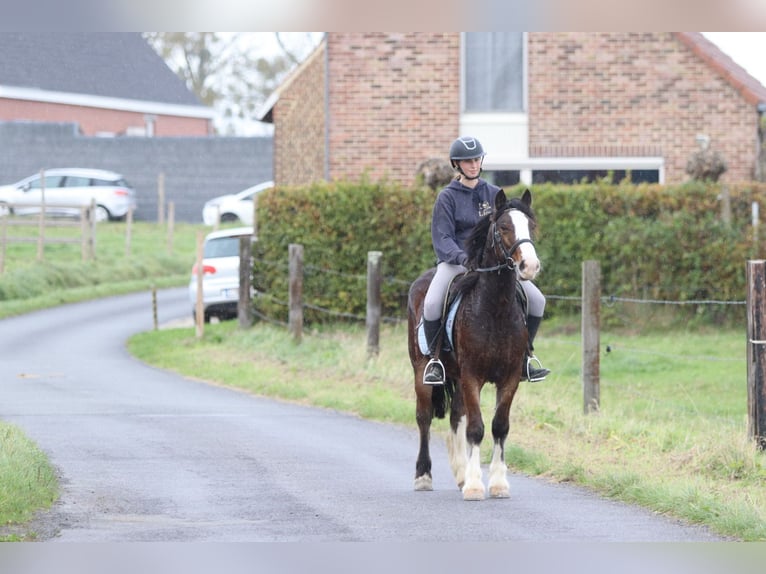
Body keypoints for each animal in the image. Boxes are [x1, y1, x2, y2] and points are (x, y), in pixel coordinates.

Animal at [407, 188, 541, 501]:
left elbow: (499, 426)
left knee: (457, 417)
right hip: (422, 372)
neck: (494, 310)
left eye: (531, 226)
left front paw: (497, 483)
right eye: (503, 227)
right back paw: (423, 476)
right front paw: (475, 487)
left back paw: (460, 472)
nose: (530, 267)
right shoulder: (472, 376)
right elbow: (476, 428)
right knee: (424, 418)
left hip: (456, 377)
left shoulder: (509, 378)